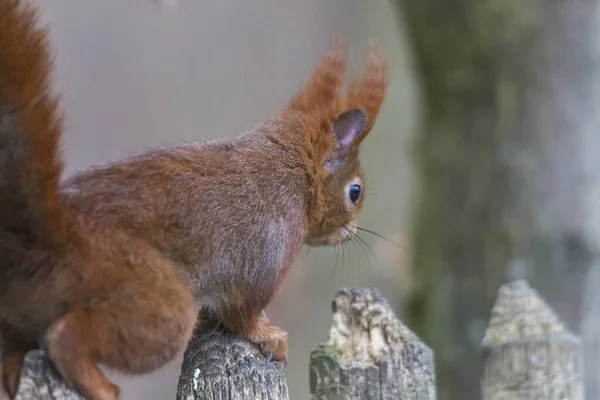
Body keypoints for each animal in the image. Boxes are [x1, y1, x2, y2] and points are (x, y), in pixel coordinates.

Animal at [0, 0, 390, 400]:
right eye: (355, 192)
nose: (351, 231)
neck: (291, 172)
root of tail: (51, 235)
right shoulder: (266, 254)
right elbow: (243, 314)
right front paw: (269, 337)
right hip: (148, 298)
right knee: (67, 338)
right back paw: (100, 386)